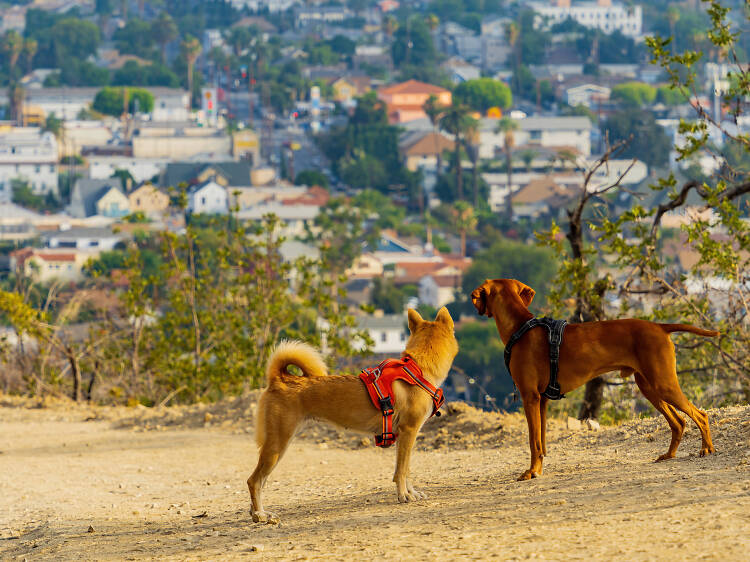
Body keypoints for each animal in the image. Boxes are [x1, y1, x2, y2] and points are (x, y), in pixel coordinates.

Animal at [248, 306, 458, 520]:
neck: (418, 369)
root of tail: (279, 380)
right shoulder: (409, 431)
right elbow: (402, 471)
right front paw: (404, 496)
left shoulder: (403, 436)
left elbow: (405, 469)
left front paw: (411, 492)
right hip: (277, 444)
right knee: (254, 480)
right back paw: (260, 515)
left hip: (279, 444)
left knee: (261, 480)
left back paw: (256, 512)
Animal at [472, 278, 720, 480]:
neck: (521, 327)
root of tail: (659, 326)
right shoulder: (541, 400)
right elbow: (540, 442)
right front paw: (538, 469)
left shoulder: (529, 397)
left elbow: (533, 441)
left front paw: (531, 472)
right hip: (648, 386)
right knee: (678, 422)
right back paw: (669, 455)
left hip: (663, 384)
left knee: (700, 415)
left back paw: (707, 448)